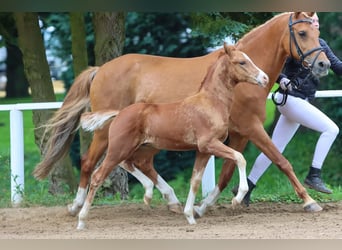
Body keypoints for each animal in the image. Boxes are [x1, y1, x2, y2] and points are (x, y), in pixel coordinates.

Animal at [33, 11, 330, 216]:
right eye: (302, 34)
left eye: (318, 33)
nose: (324, 65)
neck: (233, 82)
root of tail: (100, 70)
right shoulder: (251, 128)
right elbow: (281, 161)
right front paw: (309, 201)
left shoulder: (237, 134)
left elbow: (226, 172)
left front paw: (202, 206)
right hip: (107, 133)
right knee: (90, 163)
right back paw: (76, 206)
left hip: (146, 140)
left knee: (138, 162)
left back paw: (170, 199)